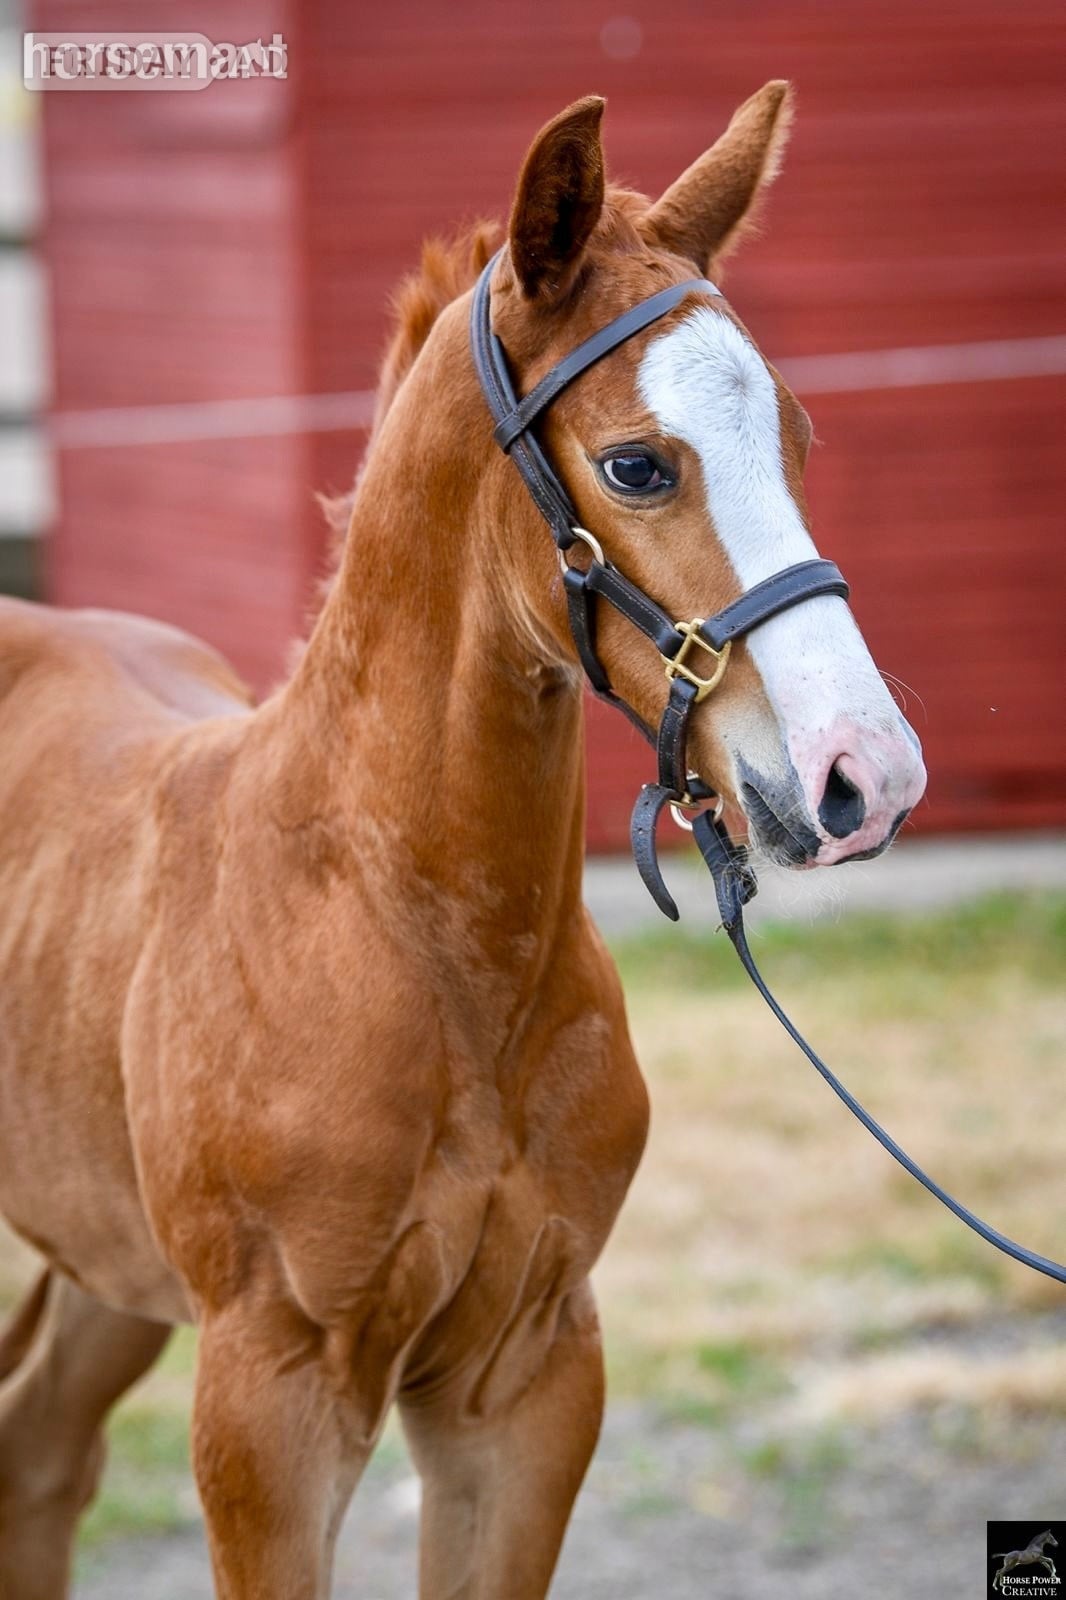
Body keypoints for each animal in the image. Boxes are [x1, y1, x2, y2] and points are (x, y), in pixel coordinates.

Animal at [0, 83, 925, 1599]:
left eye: (793, 439)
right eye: (634, 463)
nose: (868, 776)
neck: (413, 932)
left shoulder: (526, 1376)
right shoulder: (271, 1399)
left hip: (99, 1264)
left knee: (38, 1458)